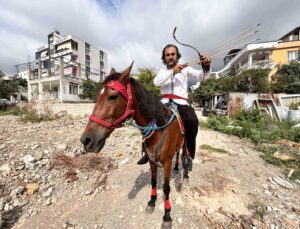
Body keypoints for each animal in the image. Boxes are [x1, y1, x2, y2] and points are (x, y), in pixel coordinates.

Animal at [79, 63, 188, 227]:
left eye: (113, 96)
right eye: (97, 97)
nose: (86, 140)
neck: (159, 128)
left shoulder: (166, 163)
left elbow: (166, 188)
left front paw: (167, 215)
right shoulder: (152, 161)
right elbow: (153, 181)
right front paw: (151, 202)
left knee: (184, 154)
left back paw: (184, 173)